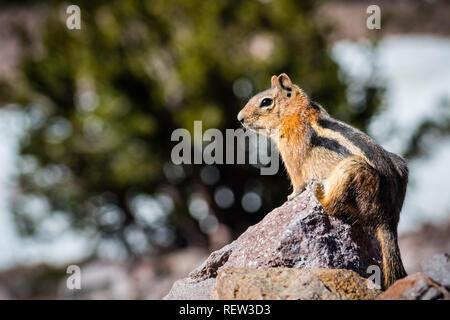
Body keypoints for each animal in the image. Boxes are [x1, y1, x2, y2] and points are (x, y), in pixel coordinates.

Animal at [239, 74, 408, 288]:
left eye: (266, 102)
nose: (240, 118)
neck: (297, 112)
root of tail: (388, 219)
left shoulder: (292, 157)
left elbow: (297, 182)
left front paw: (291, 196)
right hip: (400, 164)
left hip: (353, 171)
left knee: (335, 206)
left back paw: (319, 193)